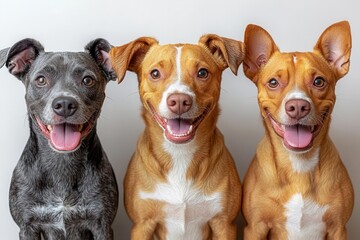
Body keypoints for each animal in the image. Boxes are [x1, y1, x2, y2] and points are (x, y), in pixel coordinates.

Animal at [0, 38, 119, 239]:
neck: (61, 162)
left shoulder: (102, 225)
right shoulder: (27, 227)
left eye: (88, 80)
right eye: (41, 80)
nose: (64, 104)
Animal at [110, 34, 245, 239]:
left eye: (202, 73)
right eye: (155, 73)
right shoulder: (142, 225)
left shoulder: (224, 224)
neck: (179, 153)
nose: (180, 101)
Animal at [242, 21, 354, 239]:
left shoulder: (338, 228)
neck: (299, 164)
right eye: (273, 82)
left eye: (318, 81)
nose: (298, 106)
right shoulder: (255, 227)